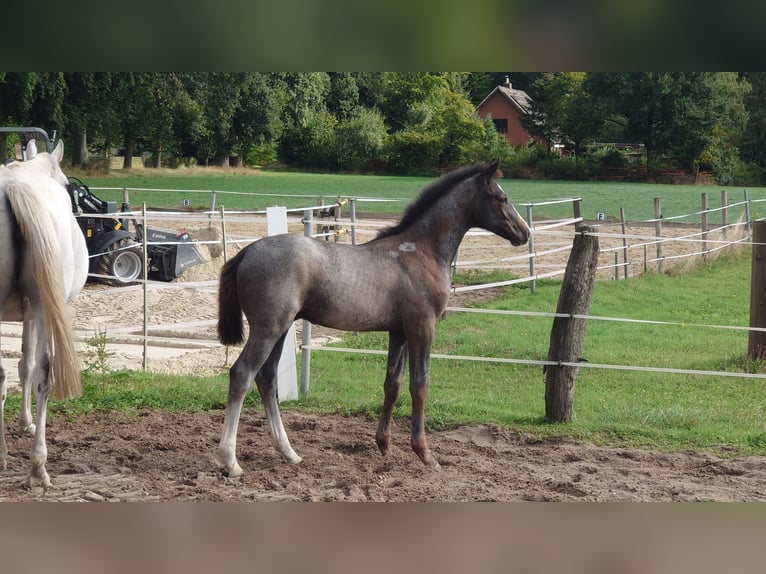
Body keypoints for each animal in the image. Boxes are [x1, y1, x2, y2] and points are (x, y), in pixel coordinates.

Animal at [0, 140, 88, 490]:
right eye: (67, 186)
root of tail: (13, 186)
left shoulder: (24, 314)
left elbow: (21, 365)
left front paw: (23, 422)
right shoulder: (34, 312)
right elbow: (30, 366)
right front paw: (29, 424)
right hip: (42, 307)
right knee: (45, 372)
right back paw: (38, 466)